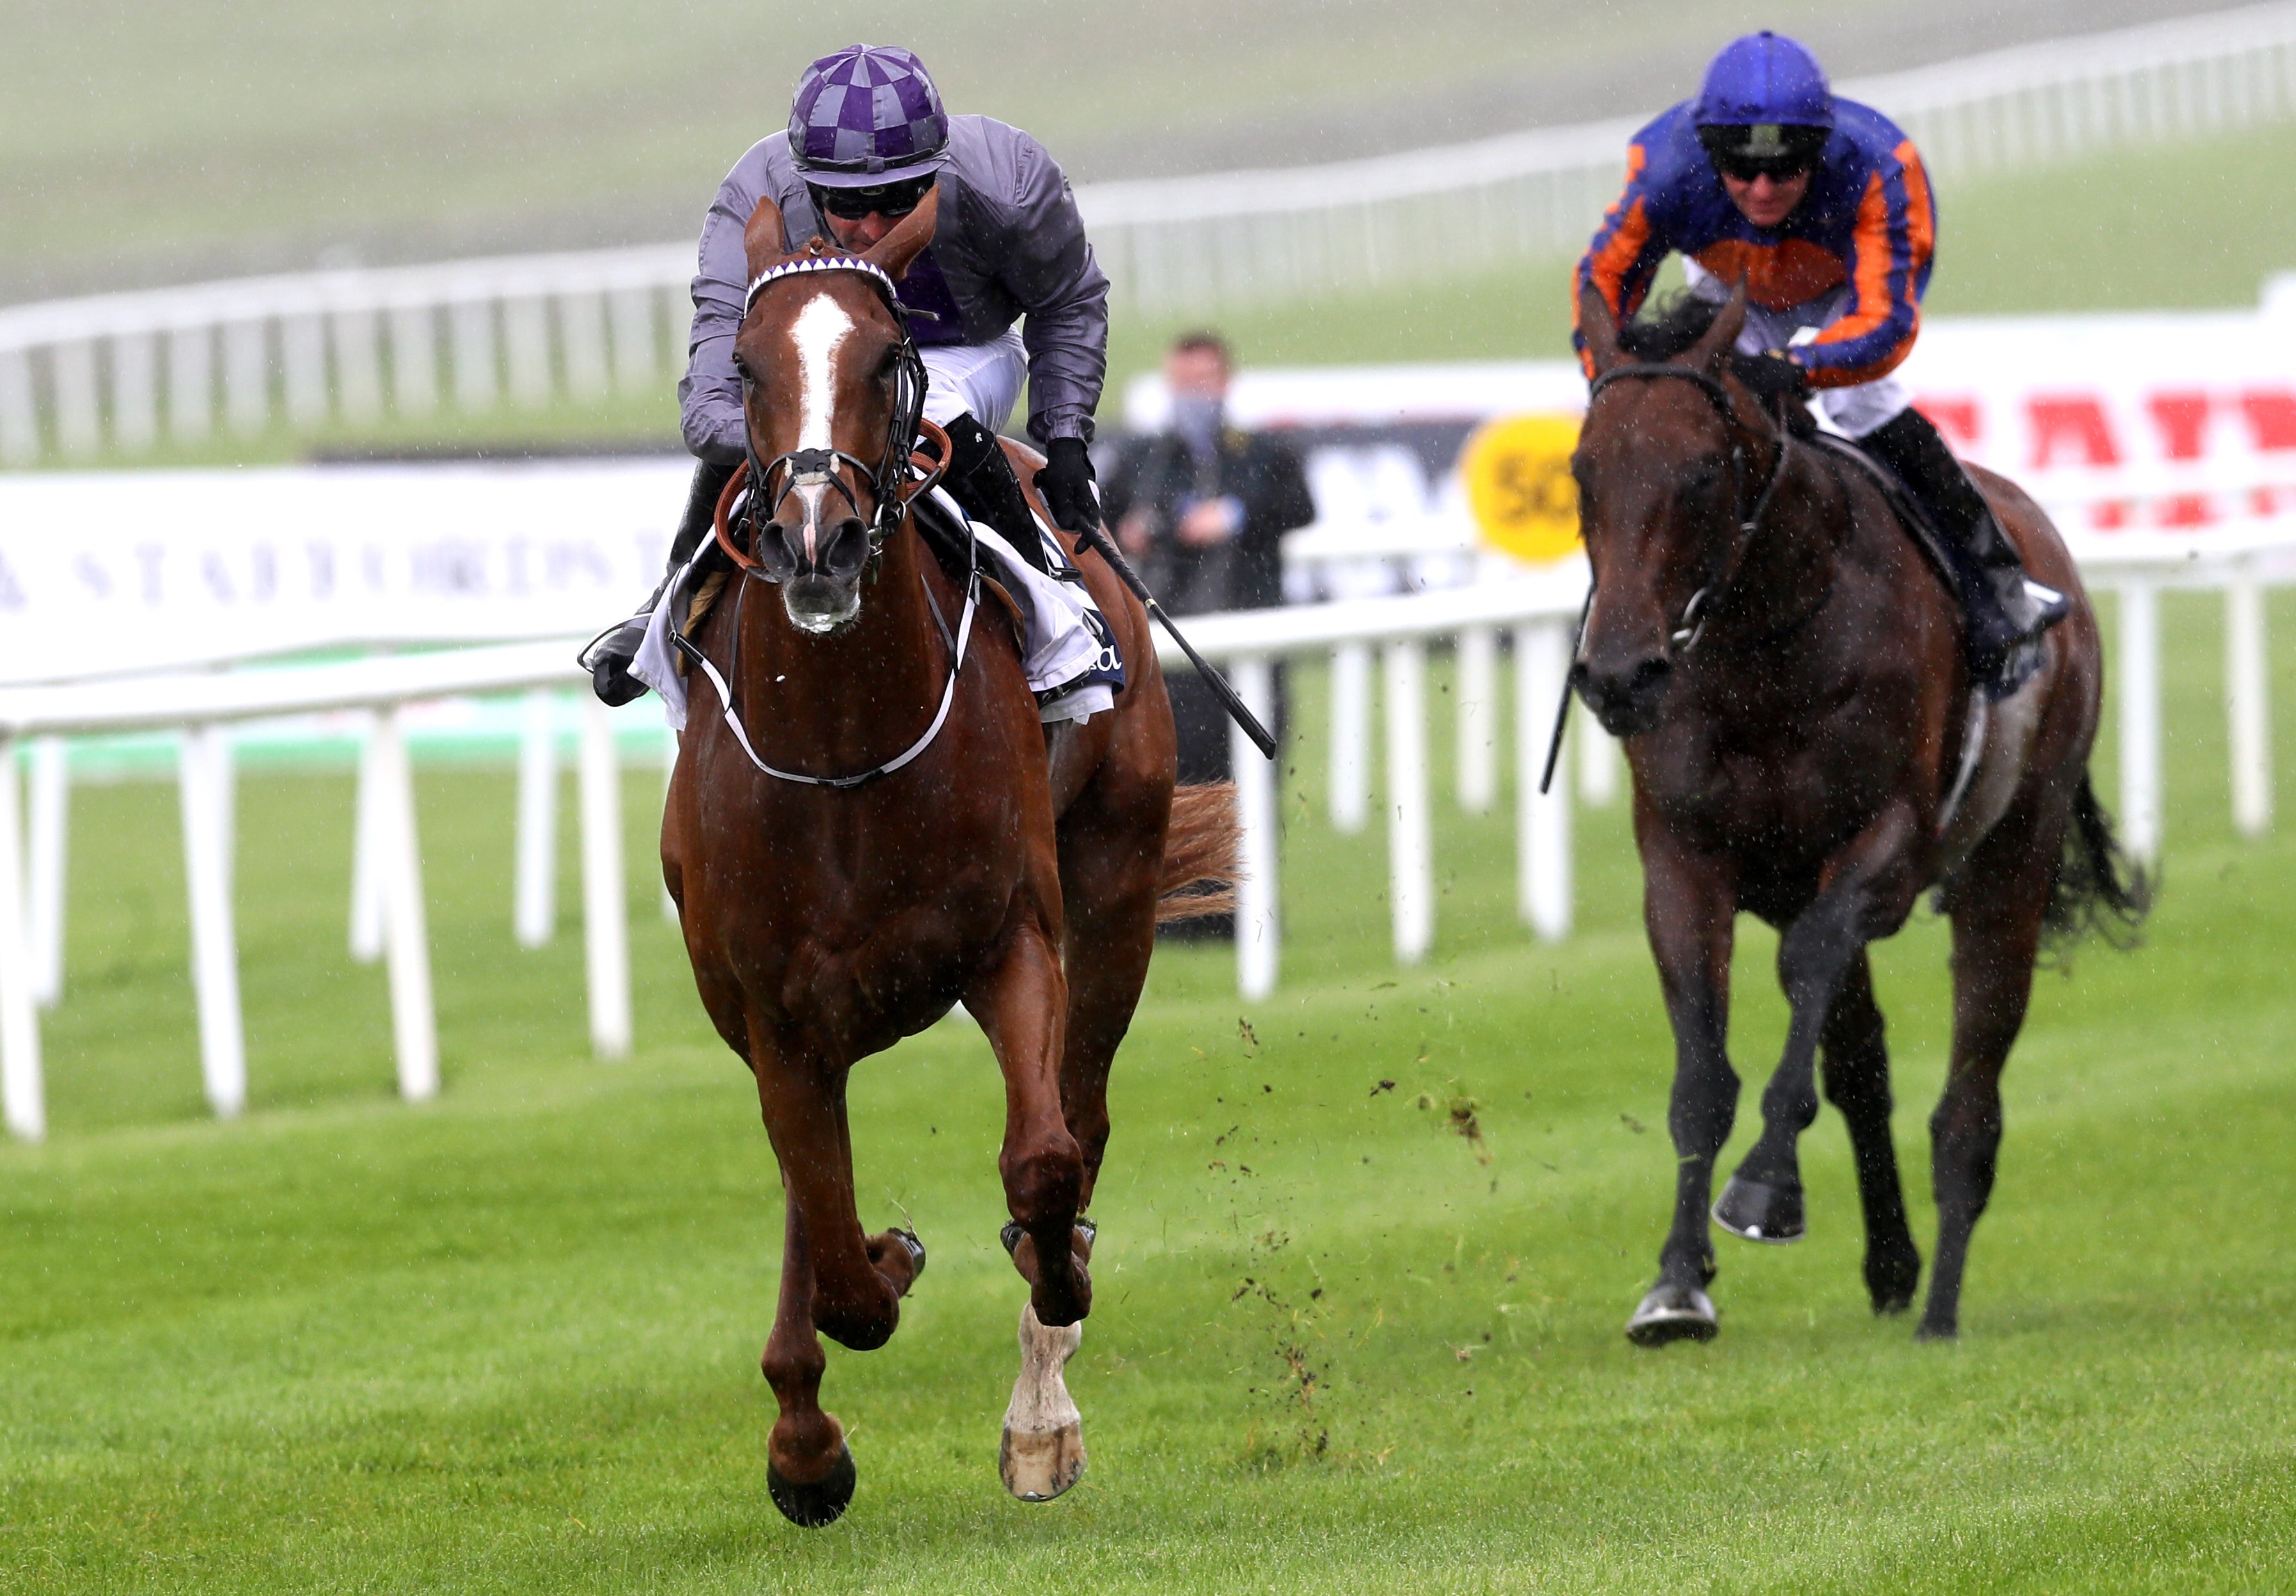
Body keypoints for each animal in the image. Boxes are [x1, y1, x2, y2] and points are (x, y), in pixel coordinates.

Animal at [666, 194, 1239, 1534]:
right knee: (811, 1196)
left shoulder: (1014, 939)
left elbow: (1043, 1161)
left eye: (886, 359)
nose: (817, 541)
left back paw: (1043, 1389)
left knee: (1080, 1115)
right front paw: (816, 1425)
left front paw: (1048, 1297)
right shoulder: (776, 1016)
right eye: (745, 365)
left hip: (1115, 893)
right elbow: (832, 1248)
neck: (842, 751)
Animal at [1570, 283, 2139, 1350]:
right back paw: (1892, 1267)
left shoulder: (1888, 846)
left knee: (1968, 1101)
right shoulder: (1683, 860)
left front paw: (1762, 1189)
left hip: (2010, 861)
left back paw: (1940, 1305)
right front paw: (1676, 1284)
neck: (1764, 646)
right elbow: (1704, 1075)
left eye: (1701, 470)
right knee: (1863, 1060)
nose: (1619, 674)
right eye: (1583, 469)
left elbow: (1809, 978)